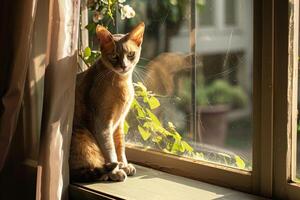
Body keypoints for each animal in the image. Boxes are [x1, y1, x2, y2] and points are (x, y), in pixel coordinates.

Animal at [70, 22, 145, 183]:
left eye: (130, 55)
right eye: (114, 56)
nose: (124, 66)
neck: (122, 83)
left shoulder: (119, 123)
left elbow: (120, 147)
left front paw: (124, 164)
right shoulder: (102, 124)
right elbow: (110, 150)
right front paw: (116, 171)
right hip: (82, 136)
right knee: (84, 170)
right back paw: (106, 173)